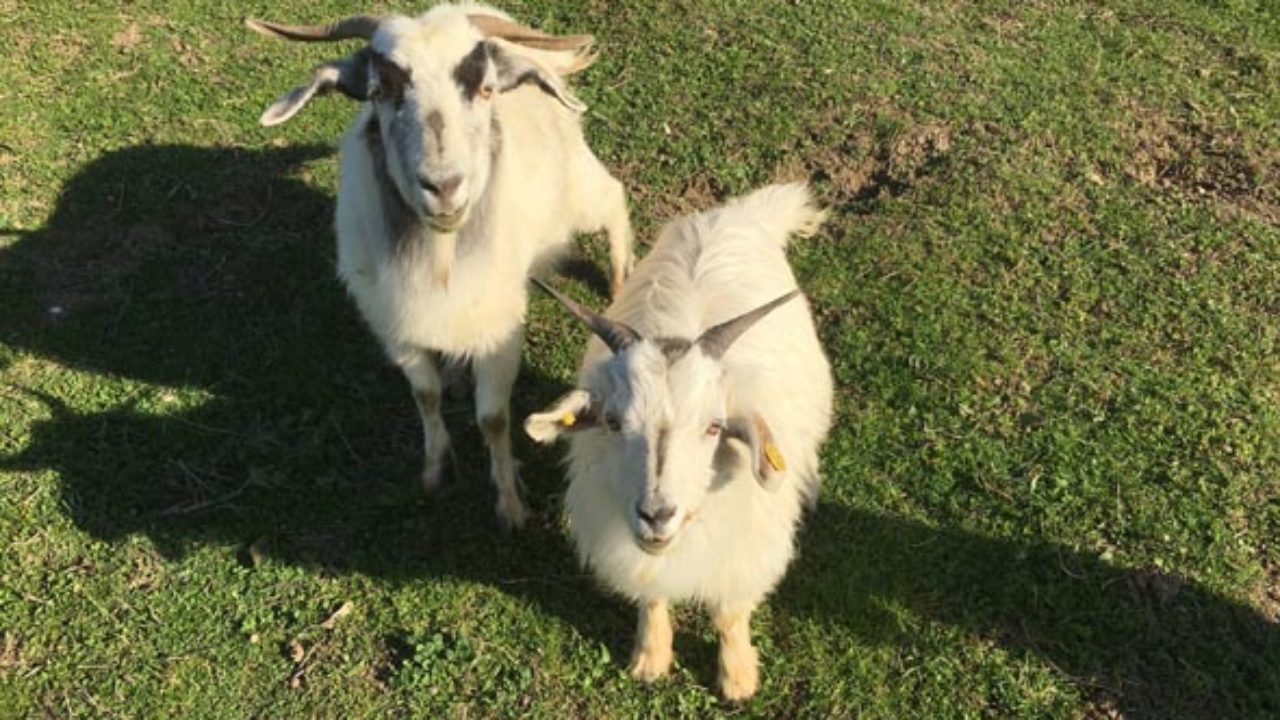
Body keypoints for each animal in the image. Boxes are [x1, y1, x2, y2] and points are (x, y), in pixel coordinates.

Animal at [247, 3, 634, 531]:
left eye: (486, 89)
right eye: (379, 91)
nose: (444, 186)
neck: (442, 256)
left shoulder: (499, 331)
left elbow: (493, 419)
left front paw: (510, 504)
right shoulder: (398, 330)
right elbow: (424, 396)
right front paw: (436, 469)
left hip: (575, 188)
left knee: (612, 196)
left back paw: (619, 279)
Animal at [525, 183, 833, 700]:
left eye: (714, 427)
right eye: (612, 421)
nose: (656, 514)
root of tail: (736, 215)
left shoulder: (745, 551)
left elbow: (729, 612)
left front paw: (737, 678)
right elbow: (652, 598)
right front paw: (650, 660)